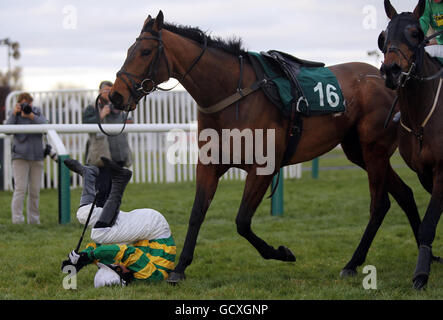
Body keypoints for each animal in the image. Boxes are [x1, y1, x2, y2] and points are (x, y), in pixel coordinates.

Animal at [108, 11, 426, 284]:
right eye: (129, 50)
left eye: (145, 52)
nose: (116, 95)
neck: (232, 95)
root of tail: (388, 80)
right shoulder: (209, 164)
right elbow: (197, 213)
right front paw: (180, 268)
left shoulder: (263, 168)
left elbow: (242, 221)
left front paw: (282, 253)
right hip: (359, 151)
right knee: (404, 194)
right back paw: (427, 254)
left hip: (374, 150)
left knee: (380, 204)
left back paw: (353, 263)